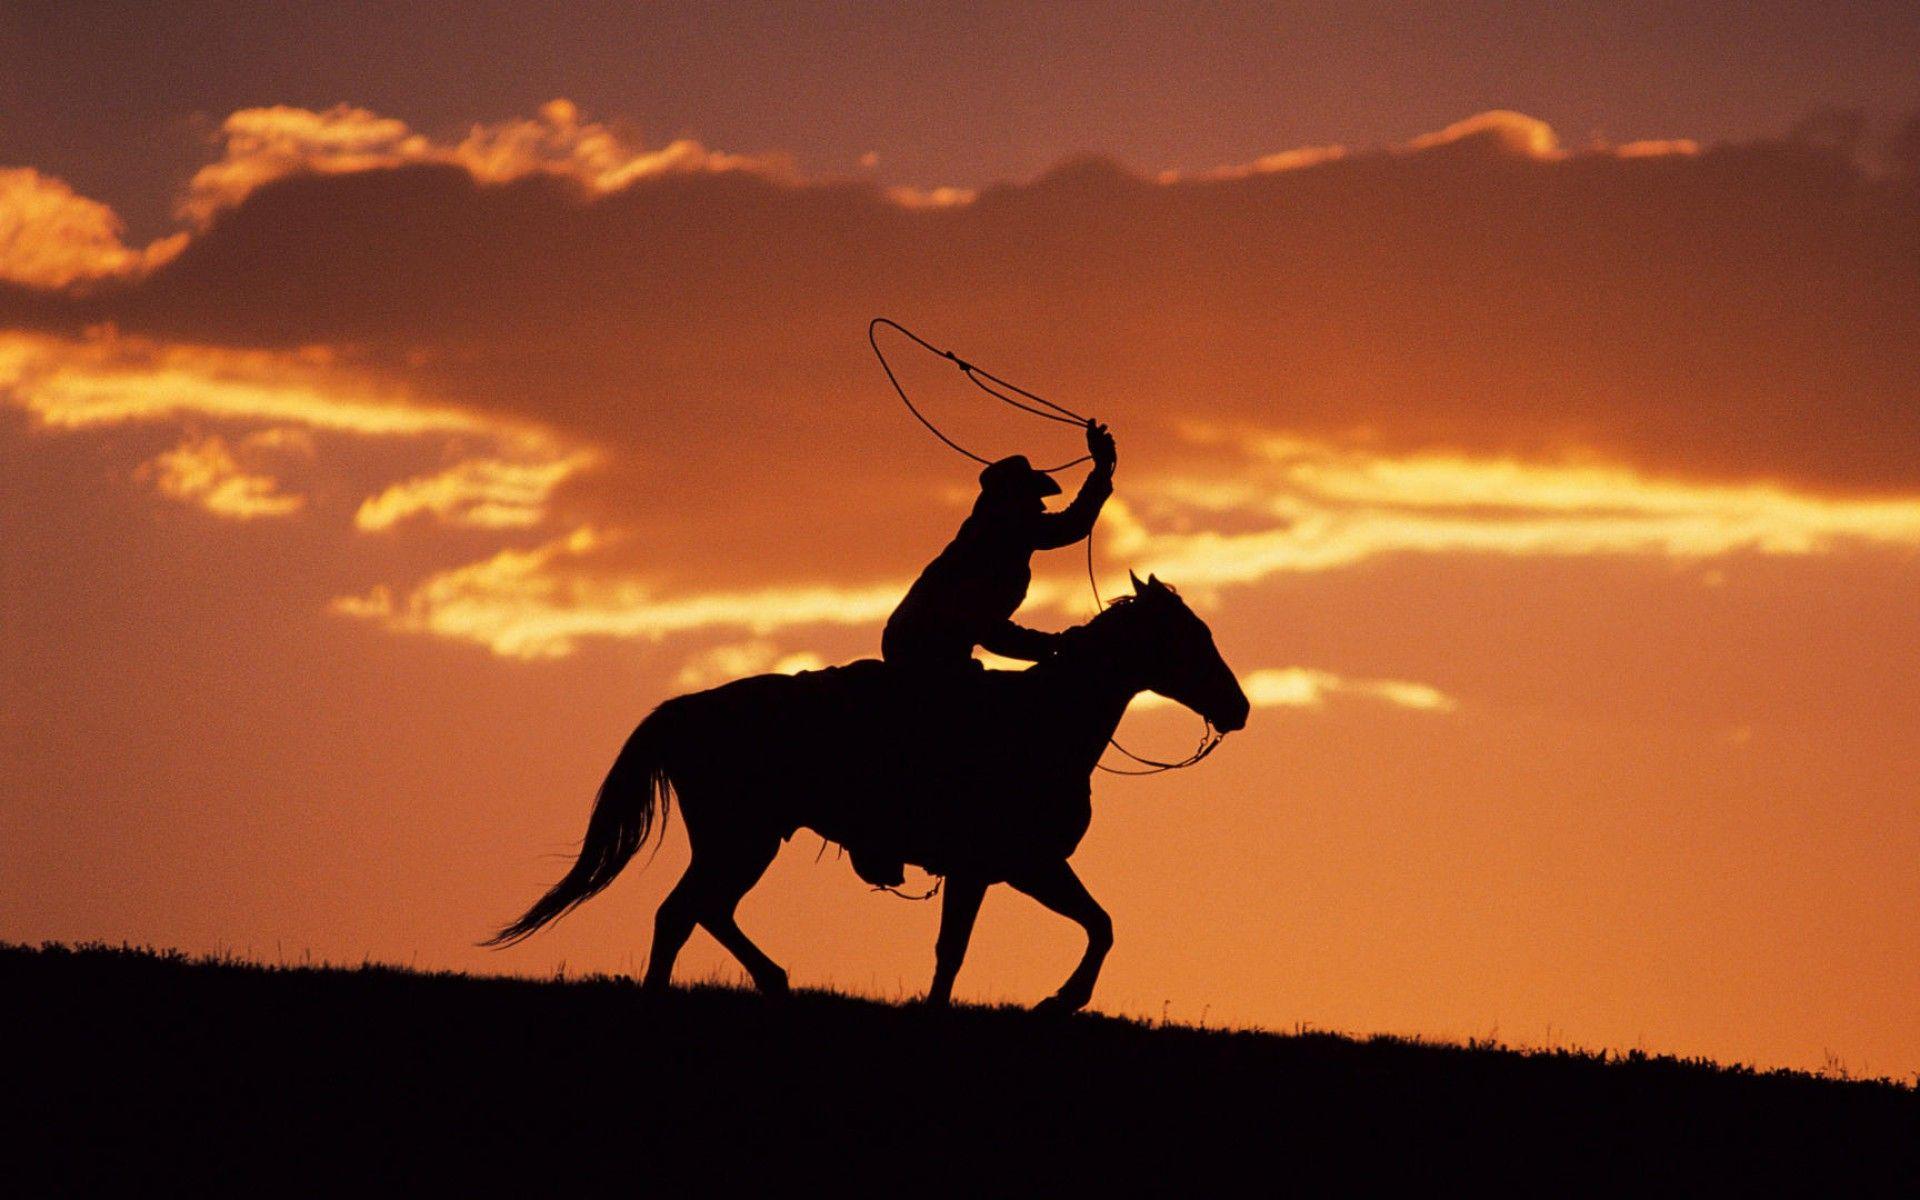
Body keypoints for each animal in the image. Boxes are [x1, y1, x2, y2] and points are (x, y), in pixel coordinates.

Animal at [486, 572, 1250, 1012]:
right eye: (1189, 637)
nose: (1239, 708)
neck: (1044, 720)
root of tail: (686, 708)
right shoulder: (1000, 868)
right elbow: (964, 948)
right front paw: (1051, 1001)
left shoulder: (1022, 868)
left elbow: (1097, 924)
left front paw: (1057, 1000)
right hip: (741, 838)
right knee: (682, 913)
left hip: (746, 841)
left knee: (705, 911)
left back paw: (774, 980)